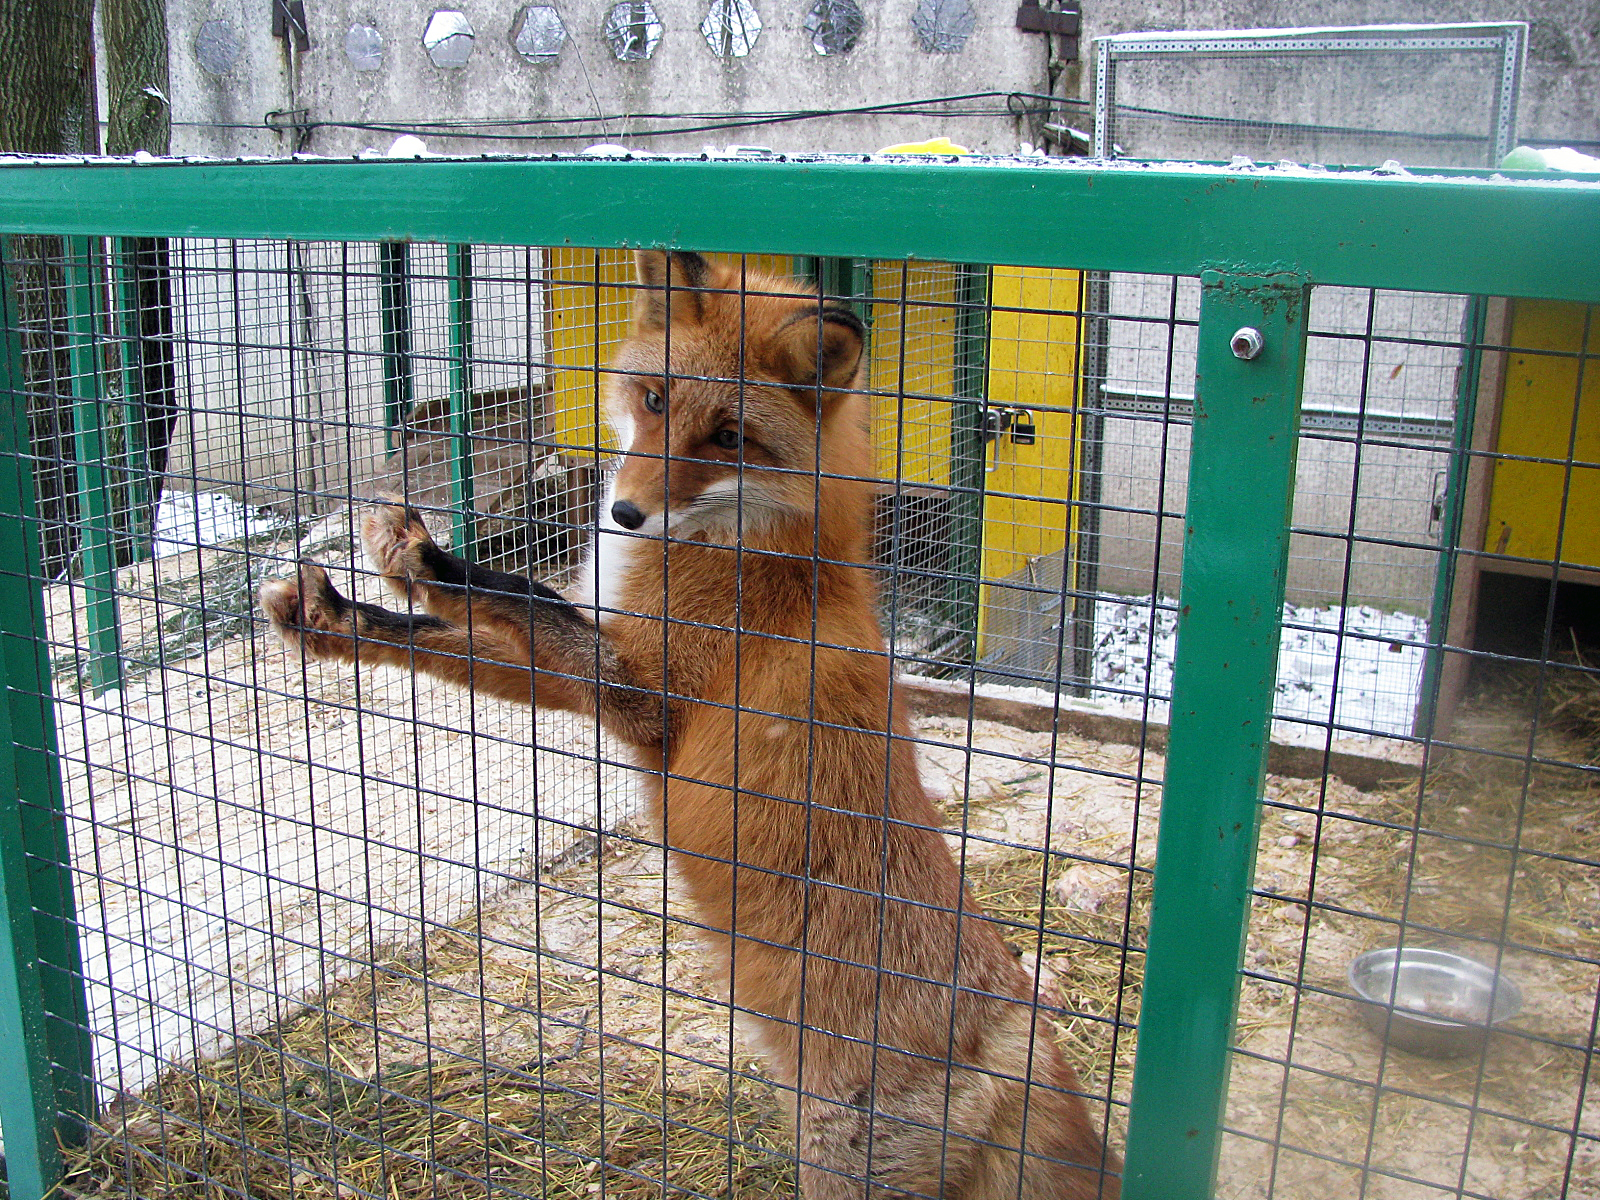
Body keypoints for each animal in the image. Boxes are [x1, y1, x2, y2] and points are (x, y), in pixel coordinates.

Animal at [256, 249, 1120, 1196]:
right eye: (655, 400)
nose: (624, 513)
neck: (742, 549)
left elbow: (521, 596)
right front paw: (336, 619)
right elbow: (451, 642)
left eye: (730, 438)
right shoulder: (599, 668)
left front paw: (429, 561)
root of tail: (1018, 1039)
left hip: (838, 1163)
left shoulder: (646, 699)